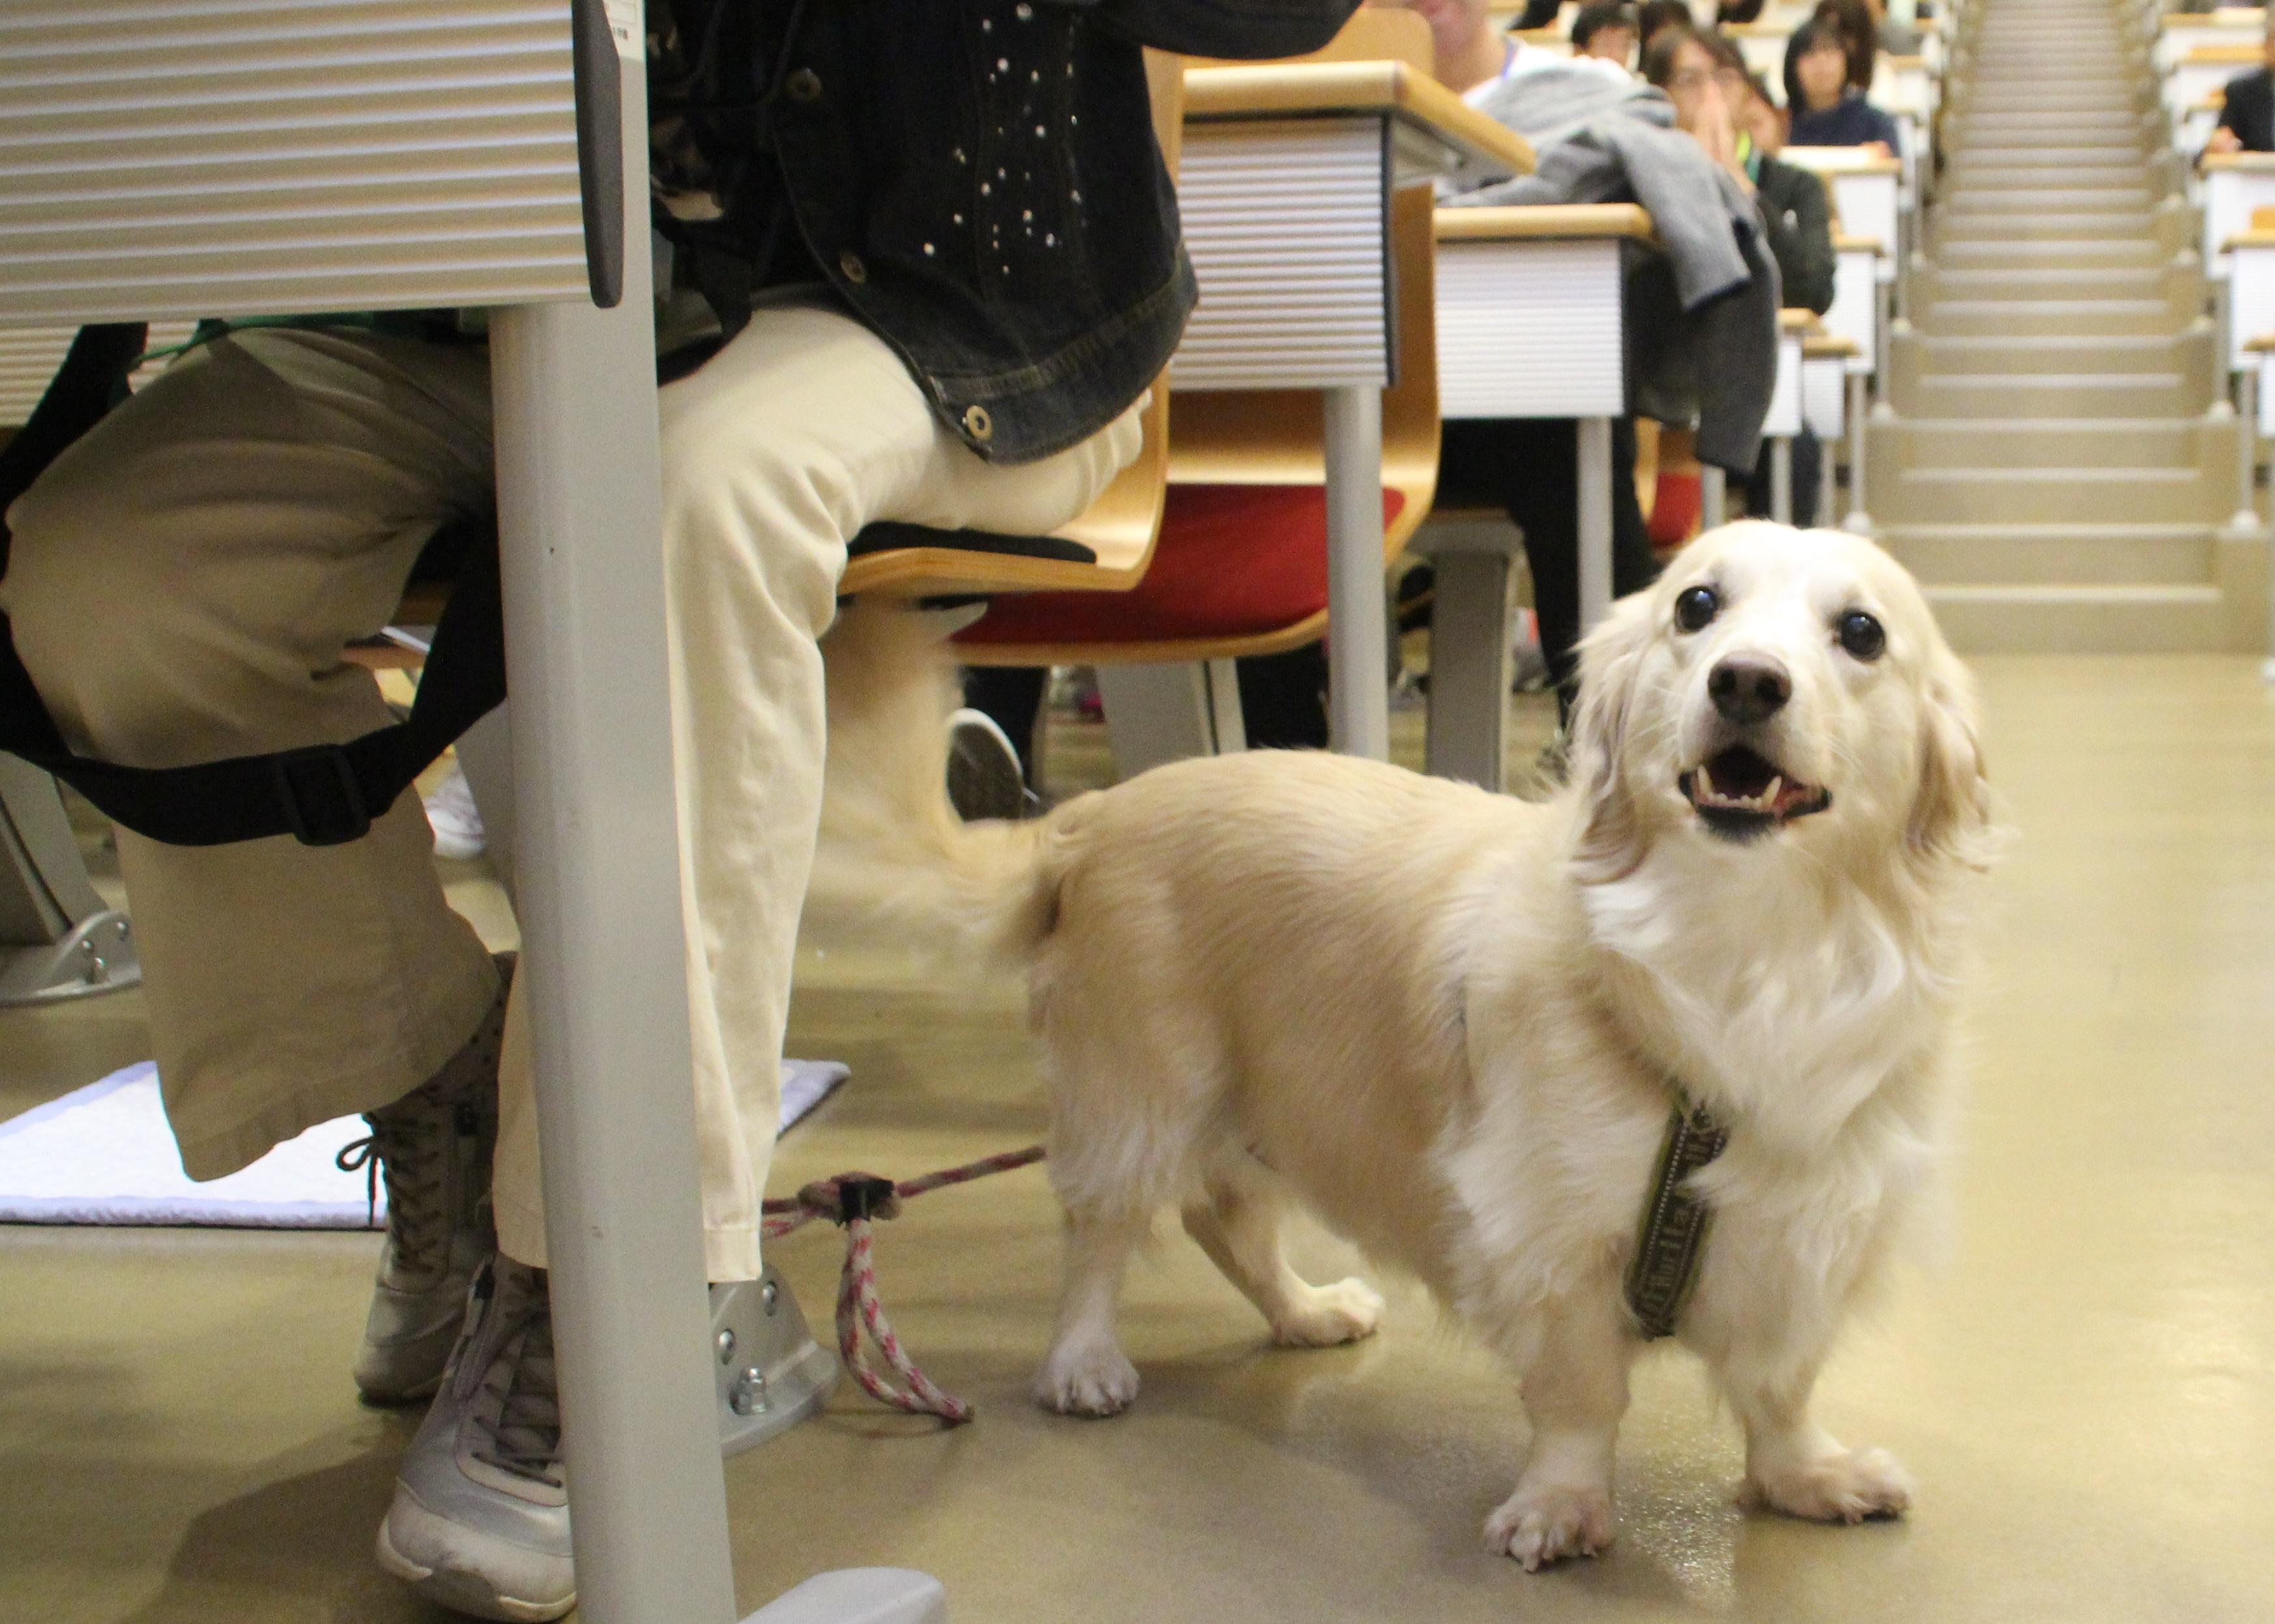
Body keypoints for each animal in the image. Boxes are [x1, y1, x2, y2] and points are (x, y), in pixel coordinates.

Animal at [814, 525, 1992, 1565]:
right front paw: (1561, 1506)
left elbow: (1779, 1387)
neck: (1743, 954)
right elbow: (1580, 1396)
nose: (1745, 682)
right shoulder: (1546, 1238)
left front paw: (1806, 1475)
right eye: (1696, 606)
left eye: (1861, 633)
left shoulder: (1812, 1229)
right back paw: (1084, 1359)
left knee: (1223, 1220)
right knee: (1103, 1233)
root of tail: (1091, 813)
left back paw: (1304, 1312)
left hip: (1268, 1098)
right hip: (1142, 1092)